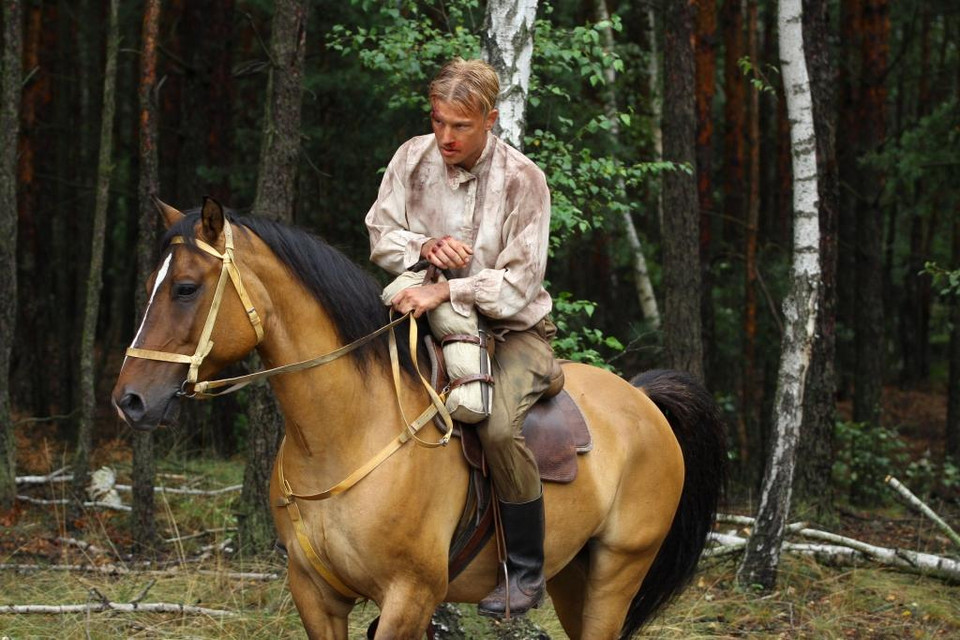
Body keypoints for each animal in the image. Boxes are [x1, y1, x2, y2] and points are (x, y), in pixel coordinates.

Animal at [112, 198, 724, 636]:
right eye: (150, 287)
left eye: (186, 287)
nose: (130, 400)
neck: (347, 433)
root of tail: (642, 400)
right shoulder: (315, 595)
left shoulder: (409, 596)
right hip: (574, 578)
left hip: (617, 572)